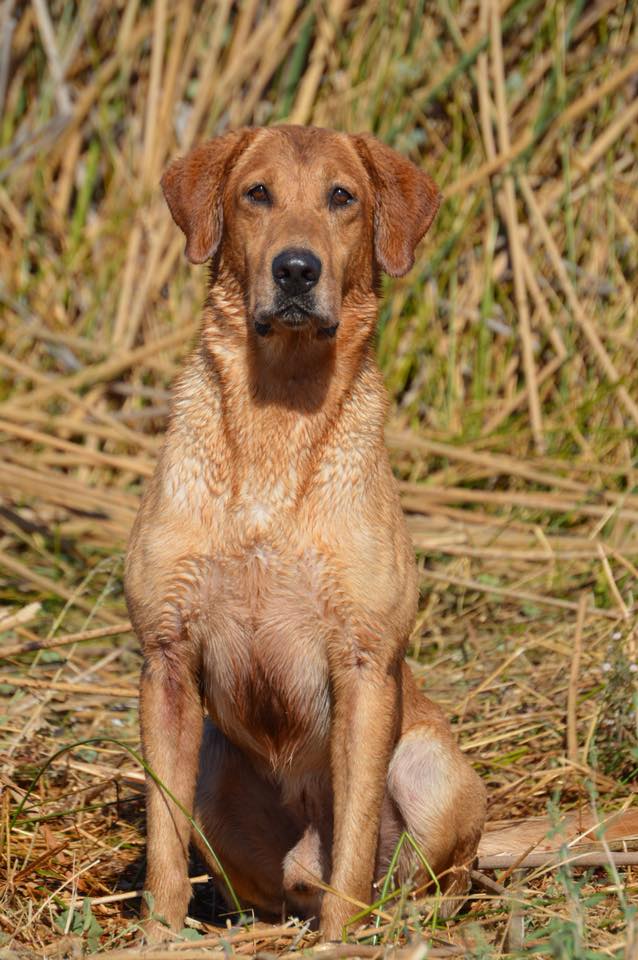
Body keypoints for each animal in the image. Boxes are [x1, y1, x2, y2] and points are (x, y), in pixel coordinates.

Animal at [124, 124, 484, 940]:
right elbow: (162, 837)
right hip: (216, 772)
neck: (278, 417)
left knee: (425, 877)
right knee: (266, 886)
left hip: (432, 769)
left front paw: (341, 942)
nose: (296, 268)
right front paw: (158, 934)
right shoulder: (166, 660)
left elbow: (353, 834)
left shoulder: (365, 665)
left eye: (341, 197)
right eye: (256, 193)